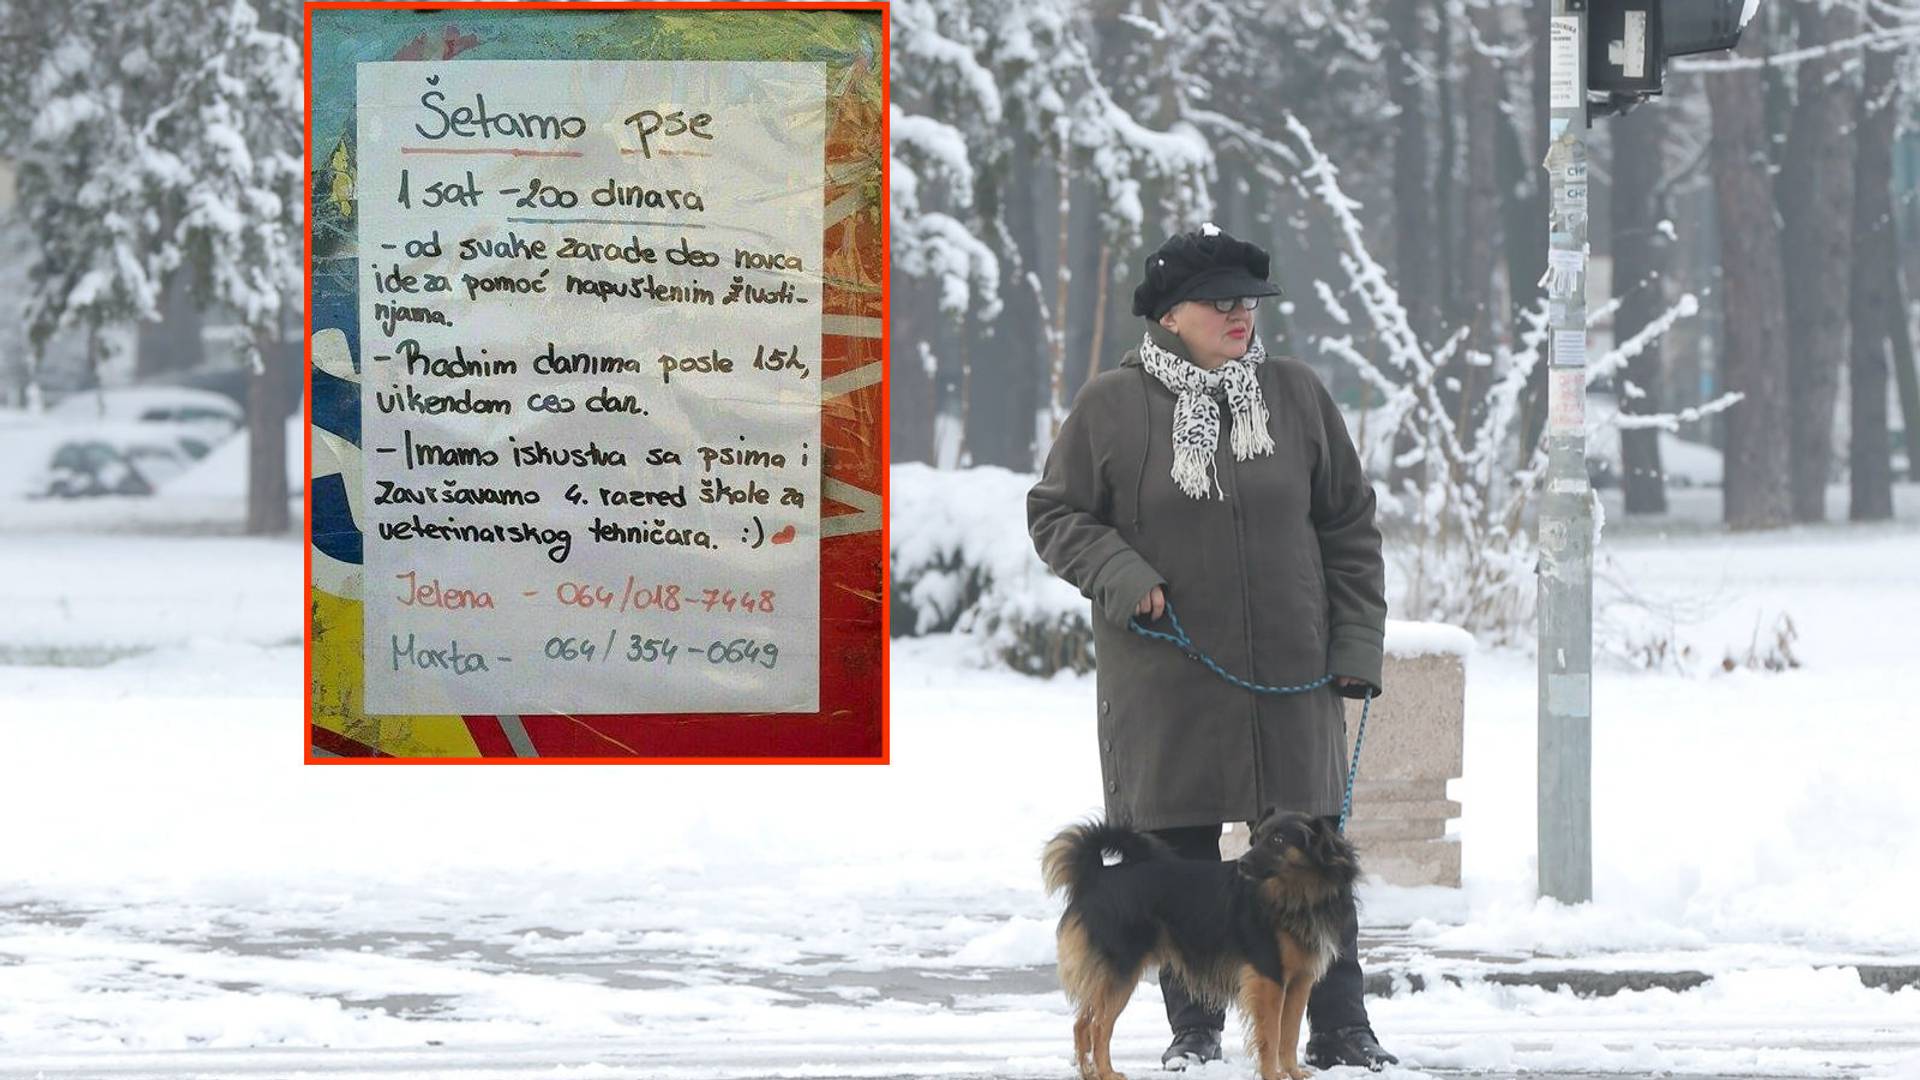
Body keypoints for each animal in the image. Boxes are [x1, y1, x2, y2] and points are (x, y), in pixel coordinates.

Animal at [1044, 807, 1359, 1076]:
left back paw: (1089, 1072)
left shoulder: (1299, 981)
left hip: (1109, 975)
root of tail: (1095, 876)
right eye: (1255, 838)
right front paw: (1273, 1075)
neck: (1299, 894)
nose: (1242, 863)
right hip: (1121, 971)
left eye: (1278, 840)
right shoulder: (1268, 977)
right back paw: (1107, 1073)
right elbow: (1271, 1035)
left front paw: (1293, 1073)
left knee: (1082, 1024)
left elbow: (1290, 1035)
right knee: (1099, 1026)